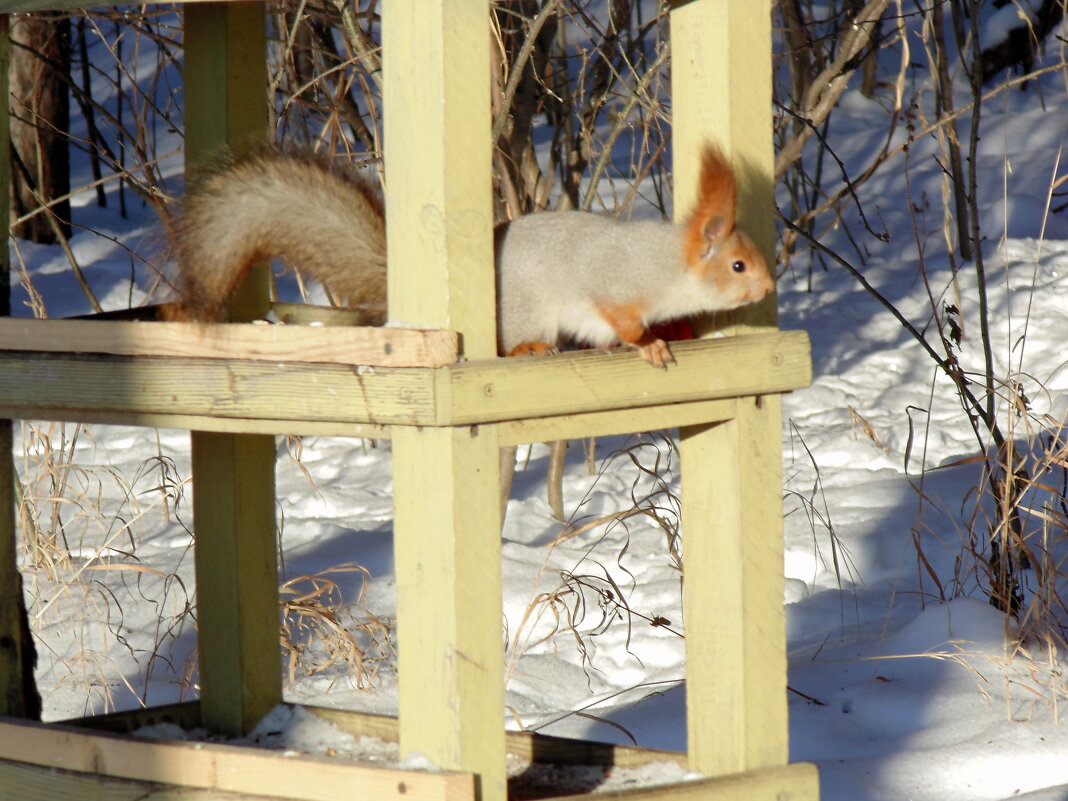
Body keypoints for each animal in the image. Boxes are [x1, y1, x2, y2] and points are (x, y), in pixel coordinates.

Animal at [162, 145, 773, 369]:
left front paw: (678, 332)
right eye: (737, 266)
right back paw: (530, 348)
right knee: (510, 343)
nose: (769, 288)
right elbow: (622, 321)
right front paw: (649, 344)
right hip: (528, 311)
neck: (666, 267)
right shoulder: (614, 285)